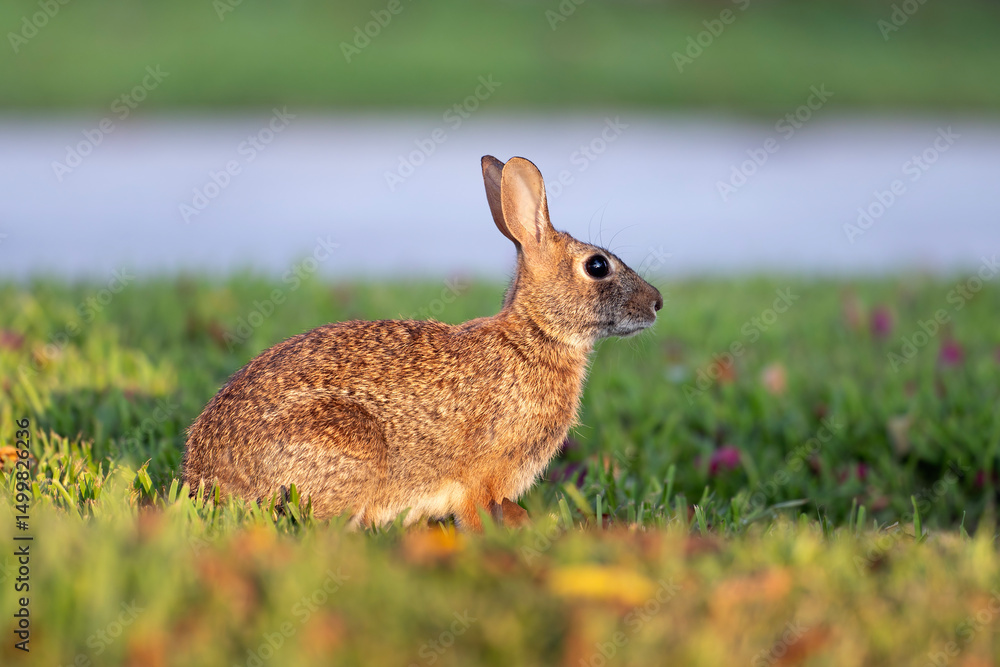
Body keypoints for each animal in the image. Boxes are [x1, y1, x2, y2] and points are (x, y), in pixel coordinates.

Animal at [182, 155, 663, 530]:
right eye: (597, 266)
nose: (657, 303)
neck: (534, 333)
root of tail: (205, 476)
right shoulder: (481, 475)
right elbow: (474, 513)